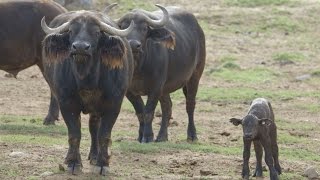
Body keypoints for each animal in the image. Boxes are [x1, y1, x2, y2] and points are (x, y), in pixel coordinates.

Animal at [41, 9, 134, 175]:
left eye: (96, 32)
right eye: (71, 31)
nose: (80, 47)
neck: (86, 78)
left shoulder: (114, 104)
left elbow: (104, 135)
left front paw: (103, 164)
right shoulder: (66, 103)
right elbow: (74, 134)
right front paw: (73, 163)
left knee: (94, 128)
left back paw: (95, 156)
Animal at [117, 4, 205, 143]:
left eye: (144, 28)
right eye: (123, 27)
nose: (134, 45)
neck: (138, 68)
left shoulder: (156, 87)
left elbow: (148, 112)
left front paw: (147, 137)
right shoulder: (129, 91)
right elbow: (140, 112)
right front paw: (141, 135)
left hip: (195, 76)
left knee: (190, 104)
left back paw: (192, 135)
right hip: (165, 88)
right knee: (167, 106)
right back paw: (162, 136)